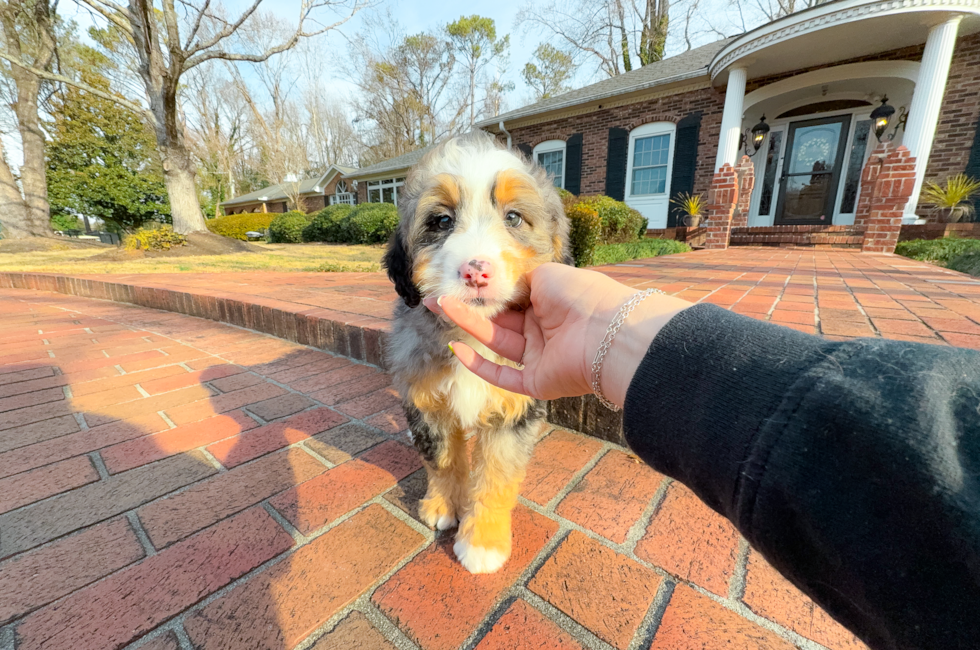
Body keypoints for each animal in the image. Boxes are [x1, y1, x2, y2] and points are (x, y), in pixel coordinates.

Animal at [380, 132, 572, 572]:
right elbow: (441, 459)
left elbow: (496, 477)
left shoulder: (513, 409)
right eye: (441, 222)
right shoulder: (425, 400)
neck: (469, 338)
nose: (475, 271)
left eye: (514, 218)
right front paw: (441, 505)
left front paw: (483, 542)